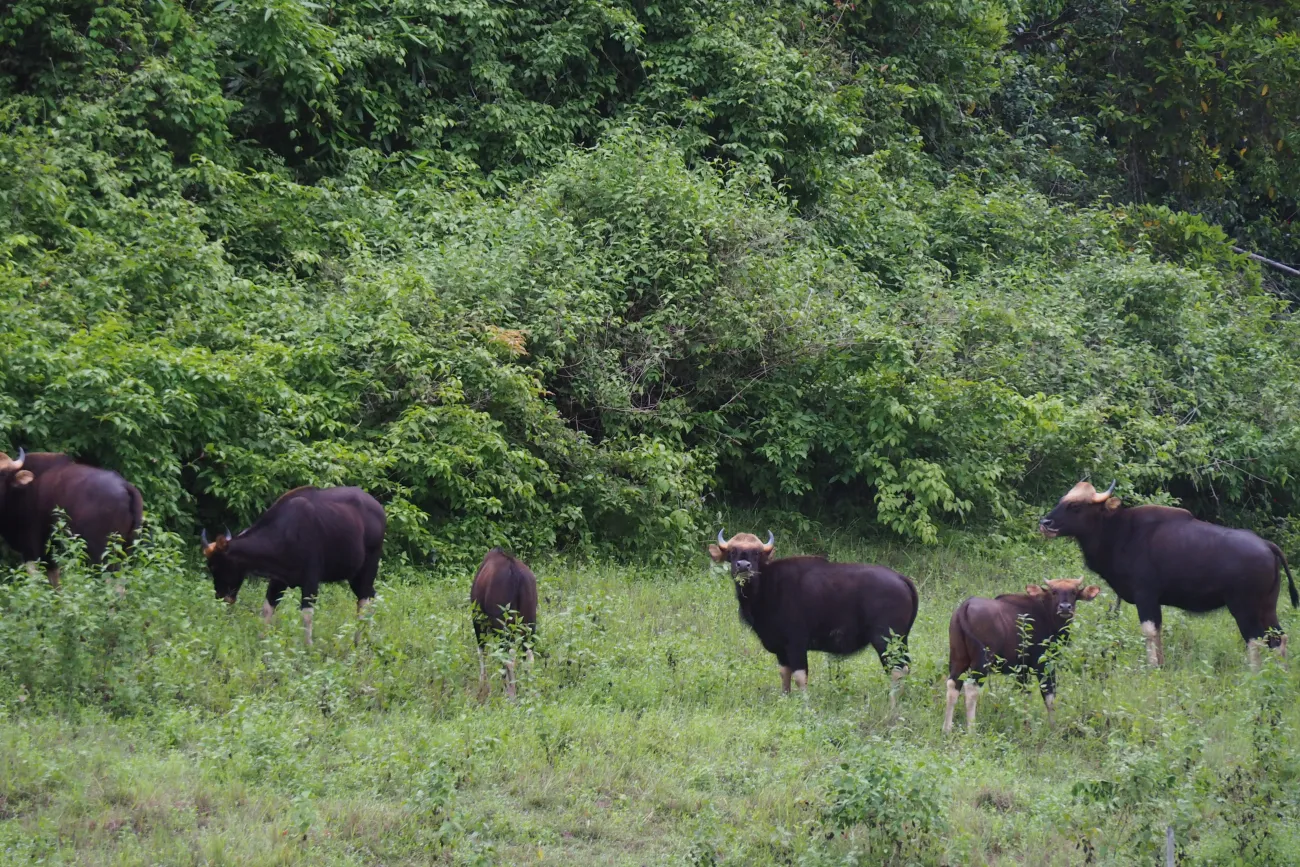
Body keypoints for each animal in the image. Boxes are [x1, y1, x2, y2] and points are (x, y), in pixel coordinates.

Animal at [470, 553, 535, 701]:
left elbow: (482, 652)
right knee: (528, 654)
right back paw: (528, 691)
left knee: (508, 656)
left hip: (503, 624)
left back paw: (511, 694)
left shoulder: (477, 619)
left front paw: (483, 688)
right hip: (528, 621)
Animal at [712, 532, 915, 707]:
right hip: (901, 640)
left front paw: (805, 706)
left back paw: (892, 706)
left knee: (897, 670)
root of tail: (901, 578)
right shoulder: (781, 648)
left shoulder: (796, 643)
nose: (743, 566)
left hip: (886, 640)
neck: (766, 587)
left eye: (756, 553)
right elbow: (784, 674)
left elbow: (800, 677)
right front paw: (785, 700)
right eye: (732, 552)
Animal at [946, 579, 1097, 738]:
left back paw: (947, 729)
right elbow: (1049, 697)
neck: (1046, 614)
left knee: (953, 685)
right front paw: (1053, 729)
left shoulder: (1021, 669)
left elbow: (1025, 695)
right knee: (971, 688)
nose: (1065, 607)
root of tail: (964, 607)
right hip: (982, 661)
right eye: (1054, 592)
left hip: (958, 658)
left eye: (1074, 592)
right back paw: (972, 732)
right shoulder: (1043, 664)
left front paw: (1027, 728)